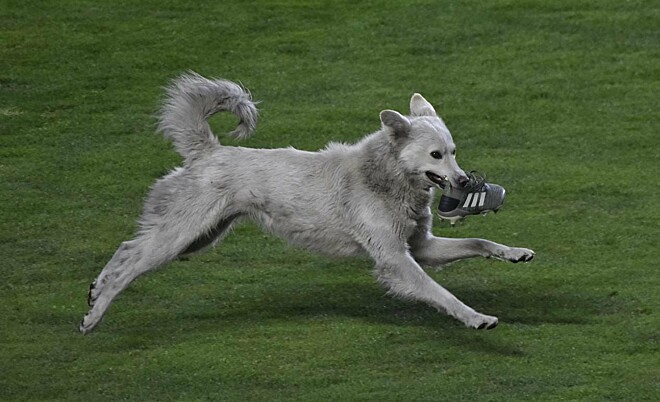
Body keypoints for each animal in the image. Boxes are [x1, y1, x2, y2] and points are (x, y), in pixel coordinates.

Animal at [80, 71, 532, 332]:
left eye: (453, 151)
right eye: (436, 155)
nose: (464, 180)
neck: (384, 177)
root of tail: (209, 151)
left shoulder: (421, 247)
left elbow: (479, 244)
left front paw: (516, 253)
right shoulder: (396, 260)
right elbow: (443, 295)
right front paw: (477, 318)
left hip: (197, 238)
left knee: (128, 249)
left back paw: (94, 292)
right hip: (180, 236)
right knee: (129, 262)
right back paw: (93, 314)